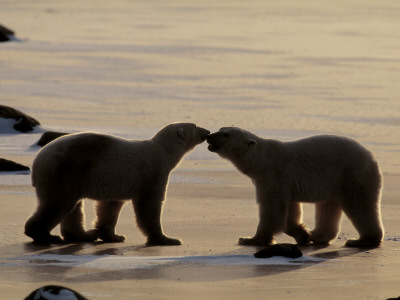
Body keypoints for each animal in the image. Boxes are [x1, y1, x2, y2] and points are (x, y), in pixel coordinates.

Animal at [24, 123, 209, 245]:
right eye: (195, 126)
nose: (207, 131)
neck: (163, 150)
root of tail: (37, 162)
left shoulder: (117, 182)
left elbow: (110, 207)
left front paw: (114, 236)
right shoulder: (153, 173)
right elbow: (150, 205)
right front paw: (168, 238)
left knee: (73, 207)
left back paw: (85, 235)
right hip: (65, 170)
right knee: (58, 204)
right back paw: (45, 236)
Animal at [208, 127, 382, 247]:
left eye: (226, 134)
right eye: (221, 129)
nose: (209, 136)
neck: (263, 158)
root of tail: (372, 157)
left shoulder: (275, 175)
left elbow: (273, 208)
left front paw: (250, 239)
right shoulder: (286, 183)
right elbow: (291, 210)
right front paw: (303, 234)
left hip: (352, 174)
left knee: (359, 205)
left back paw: (360, 241)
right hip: (336, 181)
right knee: (328, 207)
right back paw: (317, 235)